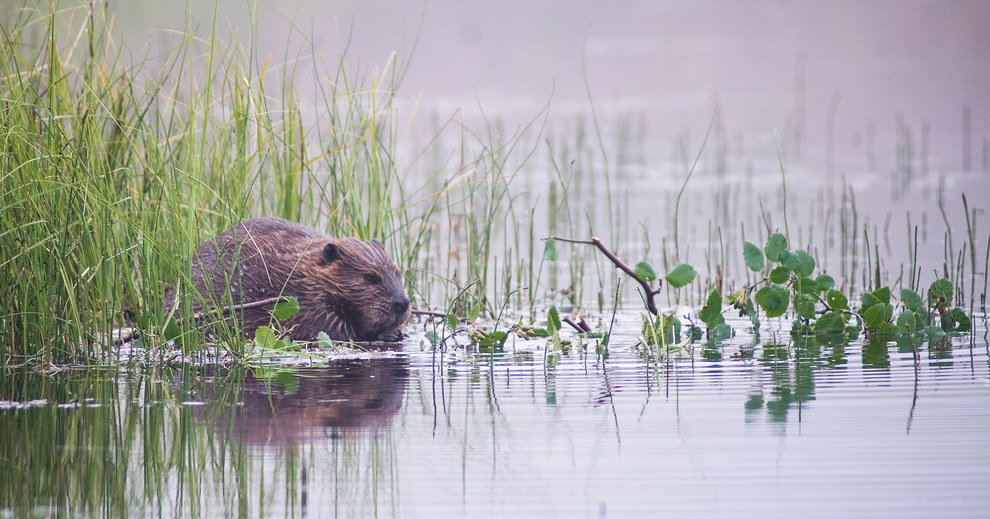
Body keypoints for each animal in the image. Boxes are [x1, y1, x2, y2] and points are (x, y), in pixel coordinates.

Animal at [172, 217, 412, 344]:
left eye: (398, 273)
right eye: (370, 277)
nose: (402, 303)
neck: (304, 271)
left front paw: (400, 332)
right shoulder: (305, 301)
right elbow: (333, 331)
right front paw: (386, 335)